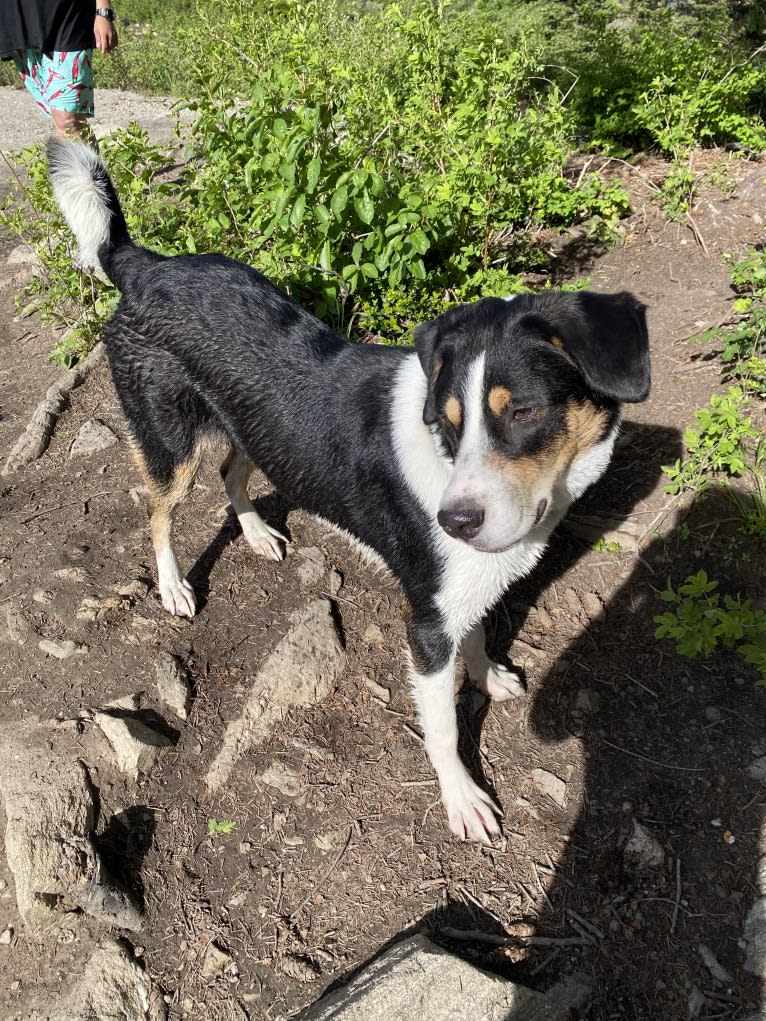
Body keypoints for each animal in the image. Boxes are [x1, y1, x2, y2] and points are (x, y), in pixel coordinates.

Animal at [48, 141, 649, 845]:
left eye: (524, 411)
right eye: (449, 421)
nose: (453, 522)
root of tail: (147, 266)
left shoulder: (460, 589)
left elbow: (477, 635)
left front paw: (487, 674)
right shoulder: (426, 626)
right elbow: (443, 727)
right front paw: (461, 799)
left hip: (252, 427)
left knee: (233, 474)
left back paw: (255, 532)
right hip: (170, 445)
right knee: (159, 511)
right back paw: (172, 586)